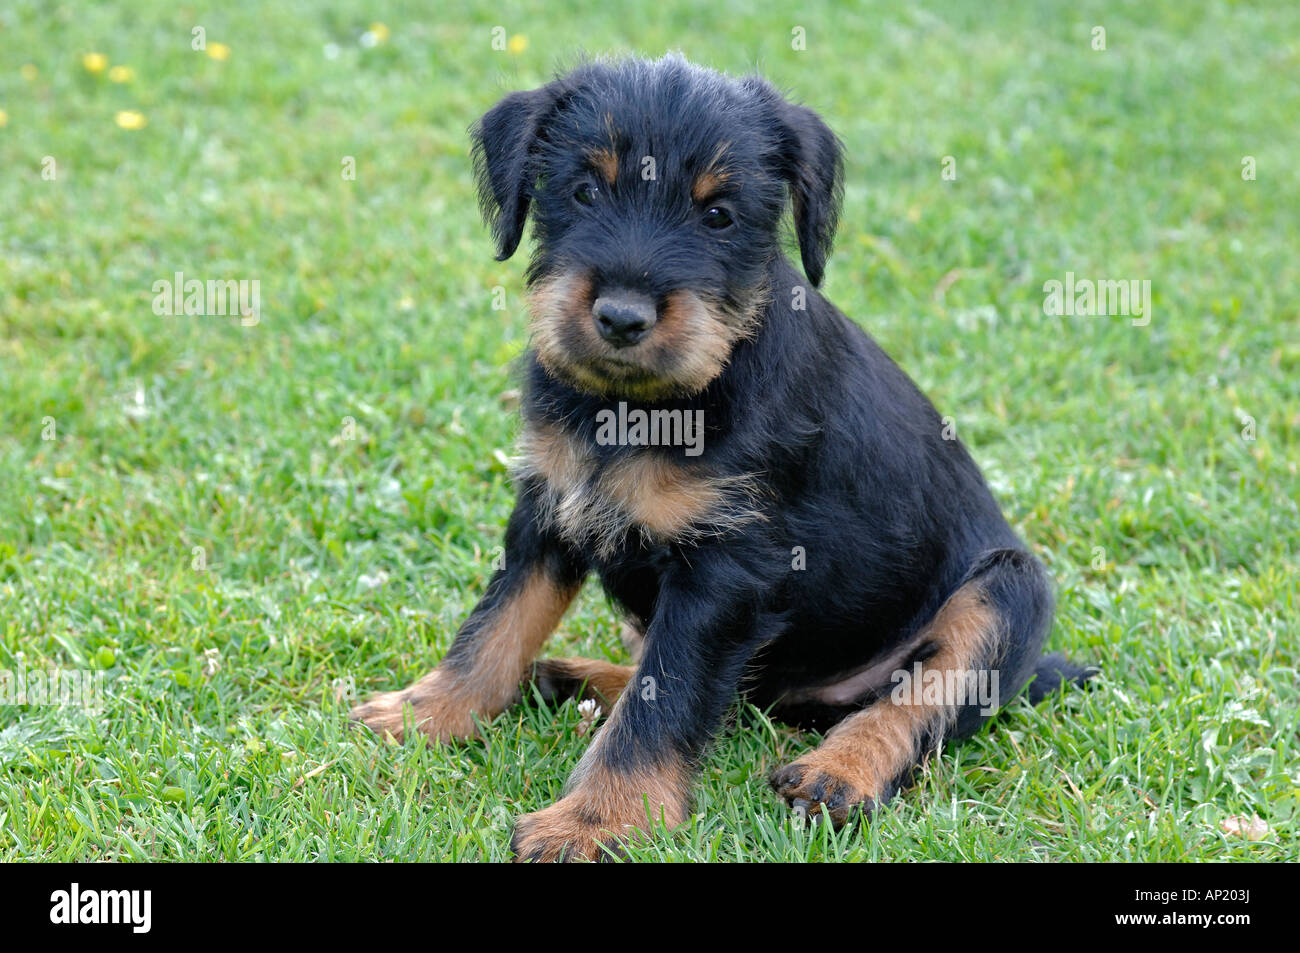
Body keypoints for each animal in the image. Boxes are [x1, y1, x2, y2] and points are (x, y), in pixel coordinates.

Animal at [351, 53, 1092, 863]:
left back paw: (837, 772)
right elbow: (496, 626)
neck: (645, 403)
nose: (621, 318)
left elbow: (667, 696)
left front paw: (597, 819)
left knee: (909, 700)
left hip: (1006, 592)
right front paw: (423, 712)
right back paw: (572, 680)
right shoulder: (548, 508)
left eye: (718, 216)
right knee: (719, 690)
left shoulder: (726, 570)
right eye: (584, 190)